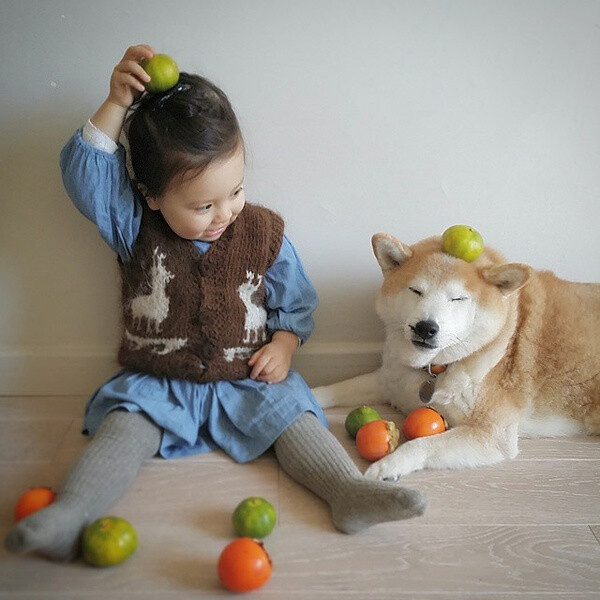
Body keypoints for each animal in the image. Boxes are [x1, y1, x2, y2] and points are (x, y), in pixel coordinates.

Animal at [314, 232, 600, 480]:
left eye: (458, 299)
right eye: (416, 290)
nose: (424, 328)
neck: (435, 369)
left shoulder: (492, 435)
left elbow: (422, 445)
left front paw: (388, 465)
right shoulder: (391, 381)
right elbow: (334, 388)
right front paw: (308, 395)